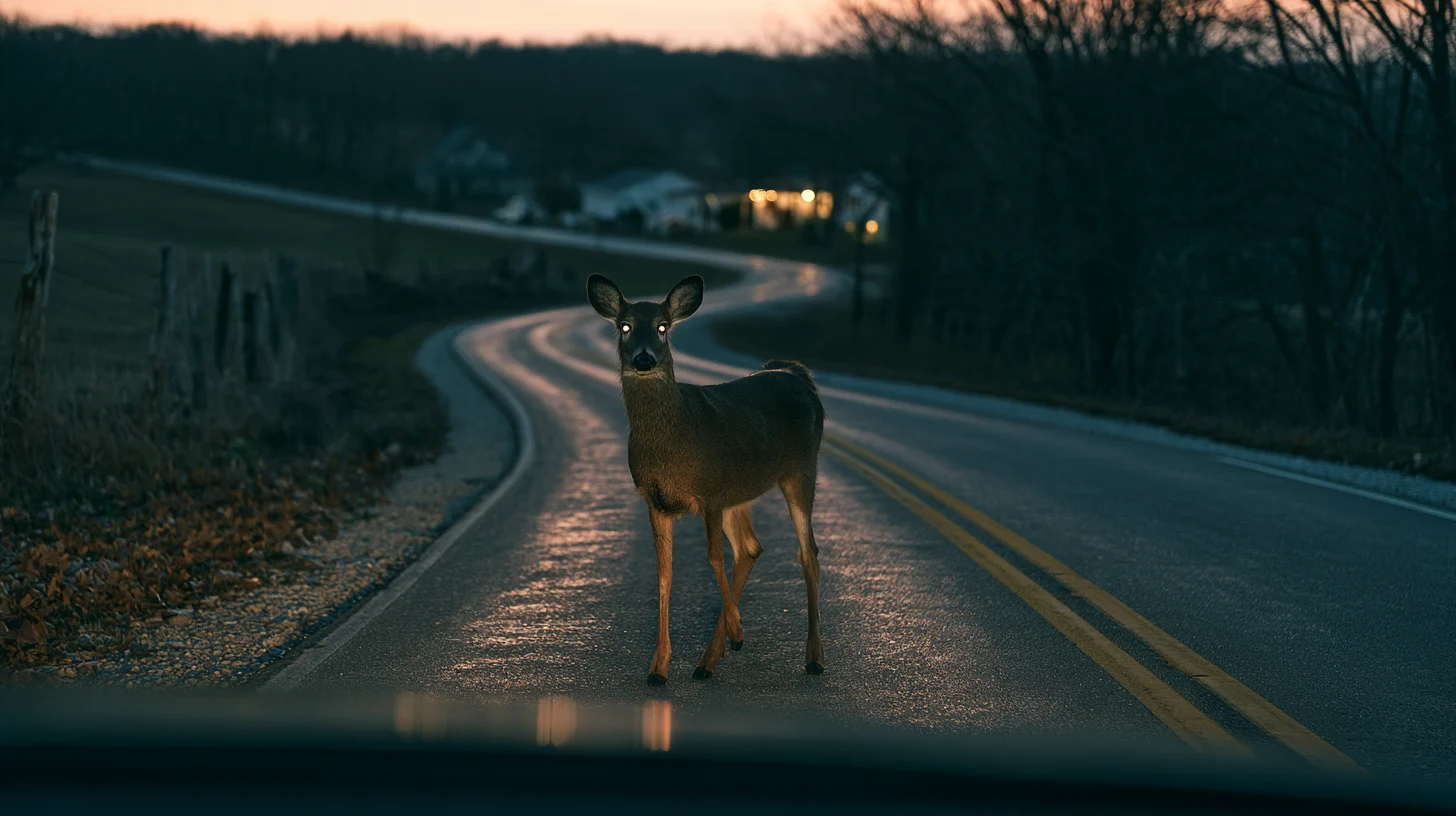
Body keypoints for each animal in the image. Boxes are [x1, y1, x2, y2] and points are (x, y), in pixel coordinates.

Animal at [586, 273, 826, 685]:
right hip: (740, 495)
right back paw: (707, 661)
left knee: (807, 552)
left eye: (663, 327)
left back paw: (812, 657)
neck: (673, 443)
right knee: (751, 547)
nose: (645, 359)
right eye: (625, 326)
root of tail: (799, 374)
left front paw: (739, 632)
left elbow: (713, 556)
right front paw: (658, 668)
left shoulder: (712, 490)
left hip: (800, 470)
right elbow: (664, 575)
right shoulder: (656, 500)